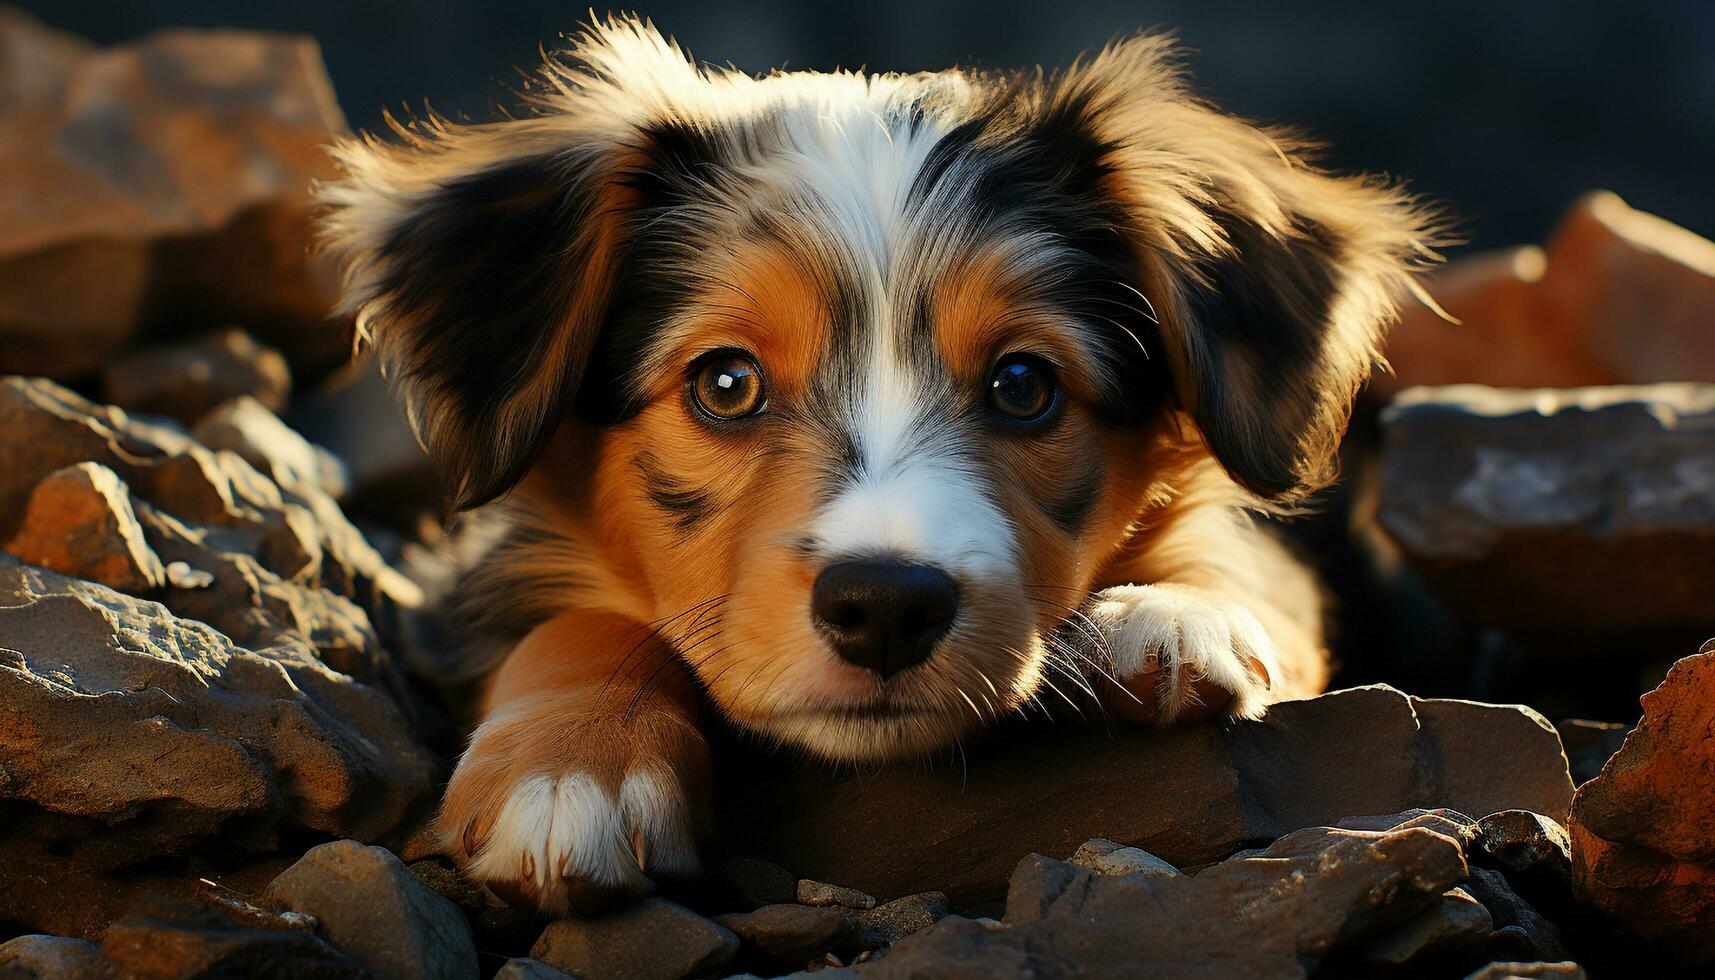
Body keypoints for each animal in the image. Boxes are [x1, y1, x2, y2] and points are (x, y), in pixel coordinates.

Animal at [315, 19, 1440, 919]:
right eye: (725, 383)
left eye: (1022, 384)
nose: (886, 607)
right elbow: (576, 622)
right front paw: (569, 765)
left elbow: (1241, 566)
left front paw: (1167, 612)